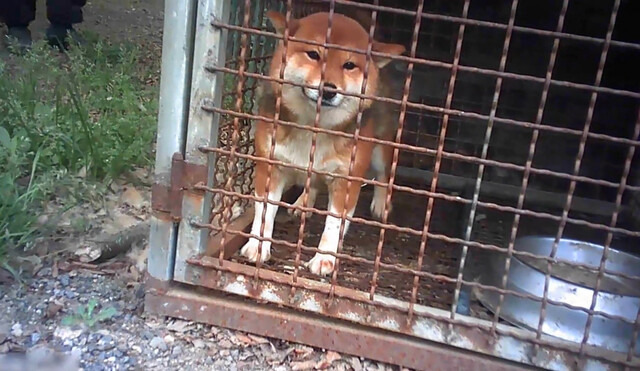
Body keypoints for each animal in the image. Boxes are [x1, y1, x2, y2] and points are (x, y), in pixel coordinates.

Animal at [240, 10, 404, 276]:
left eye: (349, 65)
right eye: (314, 55)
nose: (328, 90)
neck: (313, 127)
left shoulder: (346, 180)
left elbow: (334, 224)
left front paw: (325, 258)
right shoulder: (270, 165)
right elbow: (264, 210)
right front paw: (258, 246)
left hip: (380, 149)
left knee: (383, 174)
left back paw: (381, 204)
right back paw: (303, 202)